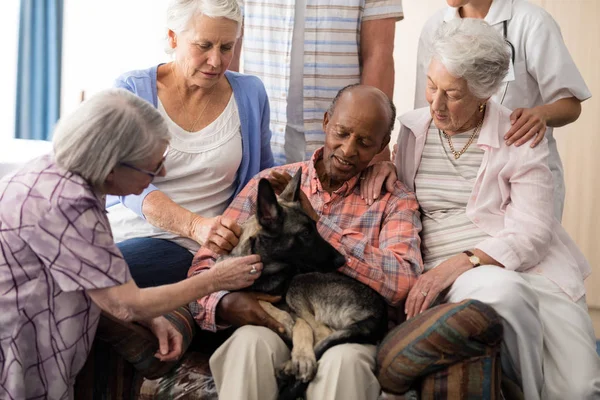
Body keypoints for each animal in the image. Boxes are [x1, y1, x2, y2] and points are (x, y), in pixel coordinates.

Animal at [218, 170, 386, 400]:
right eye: (306, 234)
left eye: (316, 229)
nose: (342, 260)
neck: (263, 268)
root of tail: (378, 316)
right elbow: (256, 298)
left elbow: (284, 315)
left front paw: (295, 340)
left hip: (300, 284)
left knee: (322, 333)